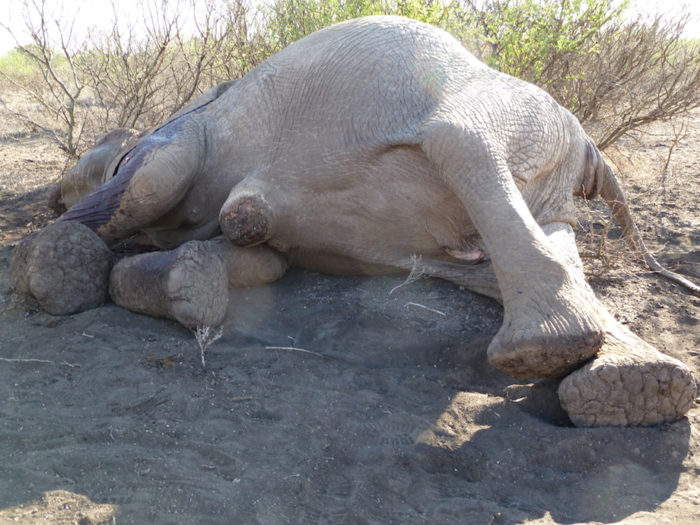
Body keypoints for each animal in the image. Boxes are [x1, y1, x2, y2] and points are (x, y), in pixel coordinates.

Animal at [9, 16, 696, 426]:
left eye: (95, 151)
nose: (48, 200)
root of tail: (591, 149)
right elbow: (257, 250)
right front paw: (187, 285)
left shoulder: (174, 135)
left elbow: (156, 185)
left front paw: (50, 265)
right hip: (539, 171)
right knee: (528, 244)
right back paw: (631, 388)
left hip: (501, 107)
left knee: (462, 141)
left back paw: (568, 361)